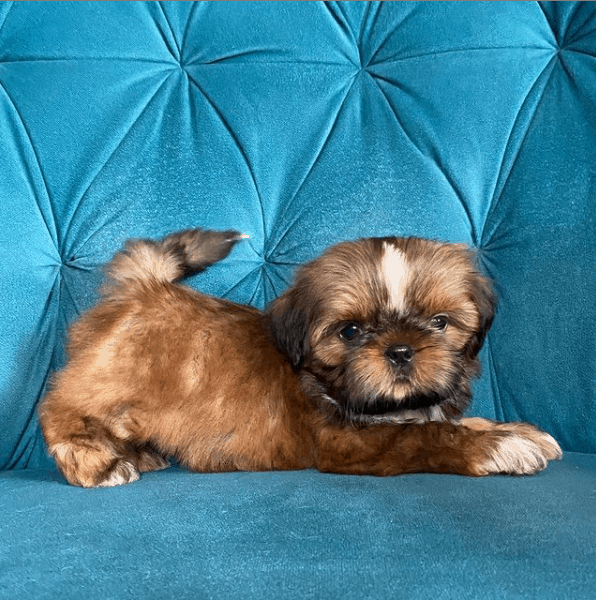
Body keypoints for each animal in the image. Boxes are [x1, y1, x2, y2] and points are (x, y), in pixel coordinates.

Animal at [39, 227, 560, 486]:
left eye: (439, 323)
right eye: (351, 331)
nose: (400, 351)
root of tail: (143, 287)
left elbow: (451, 421)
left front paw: (513, 430)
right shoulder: (344, 440)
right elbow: (428, 436)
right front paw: (499, 447)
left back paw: (141, 454)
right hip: (113, 384)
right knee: (61, 410)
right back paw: (100, 462)